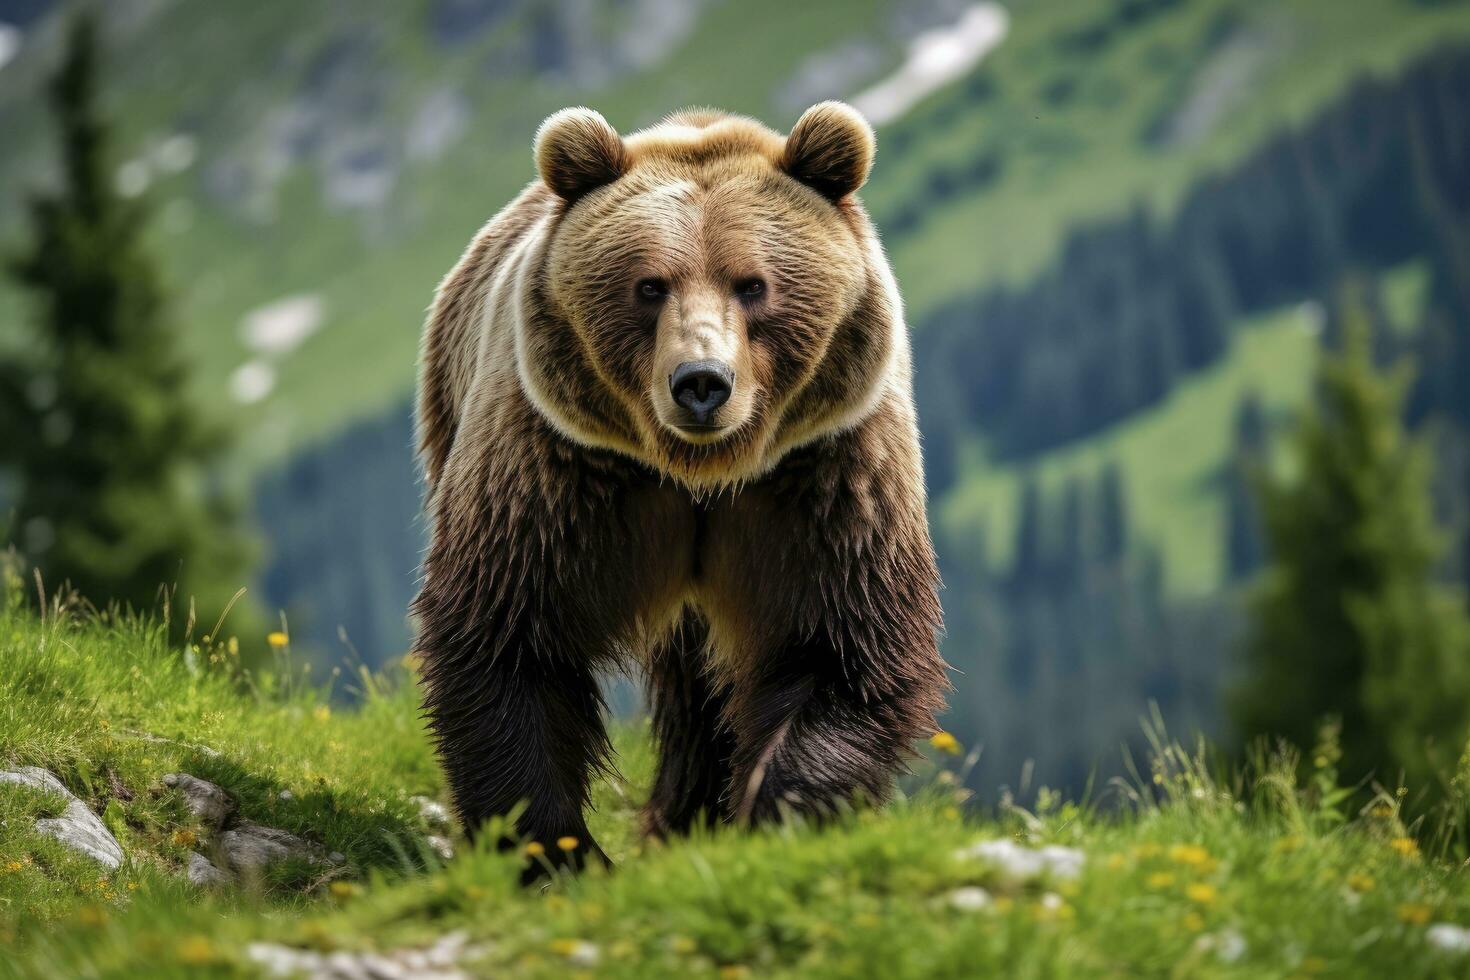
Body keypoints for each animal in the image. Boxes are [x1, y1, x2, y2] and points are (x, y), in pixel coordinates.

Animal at [408, 101, 946, 881]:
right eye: (650, 285)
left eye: (752, 284)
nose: (701, 382)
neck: (701, 475)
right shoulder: (558, 471)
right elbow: (511, 633)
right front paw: (554, 849)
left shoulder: (824, 475)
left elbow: (840, 646)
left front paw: (776, 816)